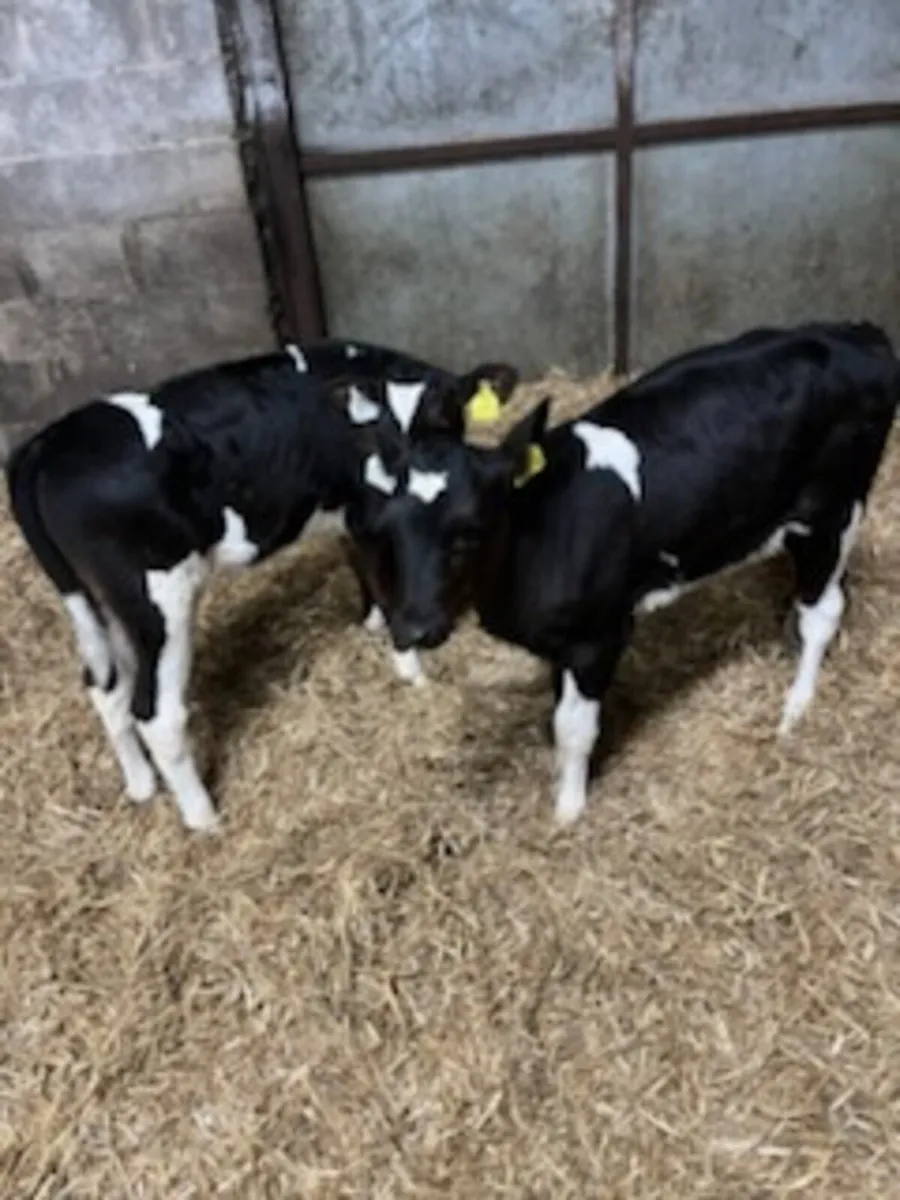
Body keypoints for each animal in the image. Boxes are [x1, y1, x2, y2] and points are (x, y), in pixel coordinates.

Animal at [5, 339, 519, 831]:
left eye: (443, 414)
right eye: (387, 423)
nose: (406, 470)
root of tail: (43, 445)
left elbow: (362, 565)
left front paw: (374, 624)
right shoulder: (371, 511)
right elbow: (385, 576)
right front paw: (411, 668)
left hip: (99, 602)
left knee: (105, 688)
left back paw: (142, 786)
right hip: (159, 595)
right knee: (156, 714)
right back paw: (204, 819)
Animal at [344, 321, 900, 825]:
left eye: (468, 531)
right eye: (388, 530)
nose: (413, 628)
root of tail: (858, 333)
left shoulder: (598, 635)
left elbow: (574, 727)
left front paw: (569, 810)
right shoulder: (561, 640)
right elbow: (558, 711)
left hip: (833, 511)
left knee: (824, 610)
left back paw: (795, 708)